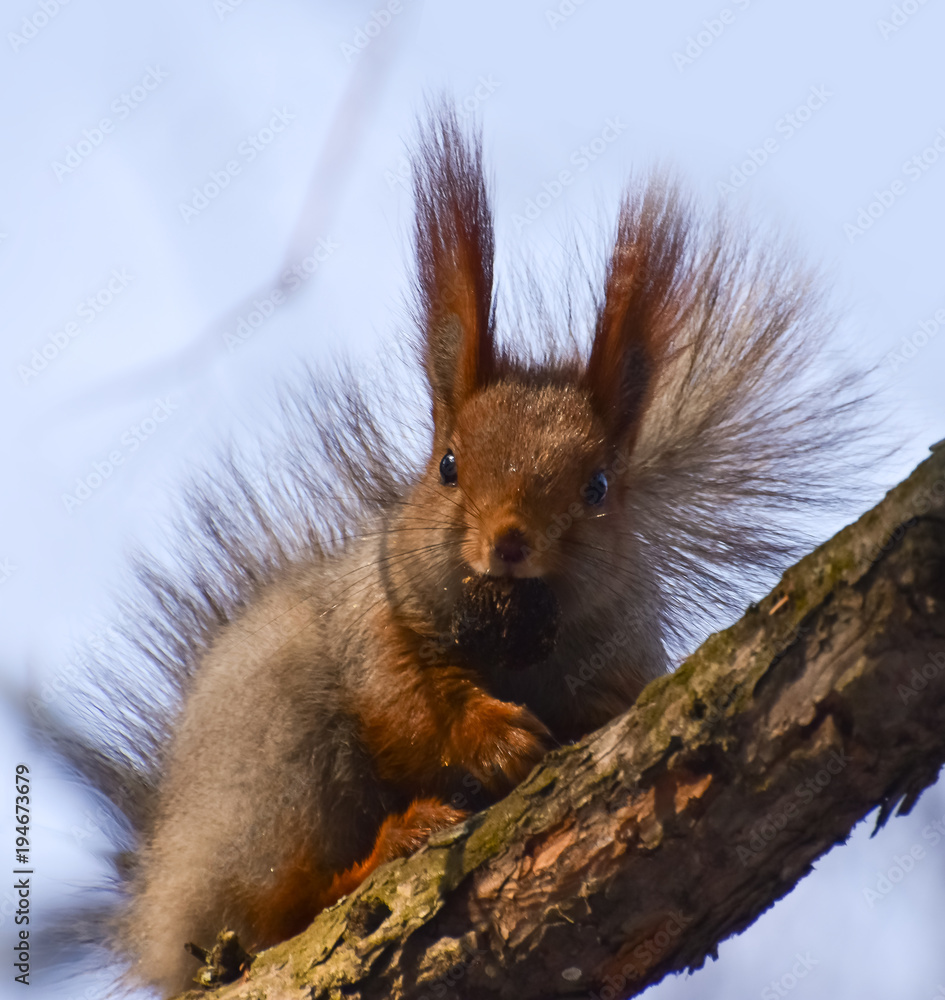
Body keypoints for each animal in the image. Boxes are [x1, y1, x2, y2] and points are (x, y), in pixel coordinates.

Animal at [40, 105, 868, 996]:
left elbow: (613, 698)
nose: (507, 541)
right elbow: (406, 704)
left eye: (598, 487)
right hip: (269, 765)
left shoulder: (622, 644)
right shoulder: (375, 619)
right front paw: (491, 736)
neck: (510, 620)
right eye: (446, 465)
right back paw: (381, 852)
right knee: (271, 912)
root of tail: (159, 910)